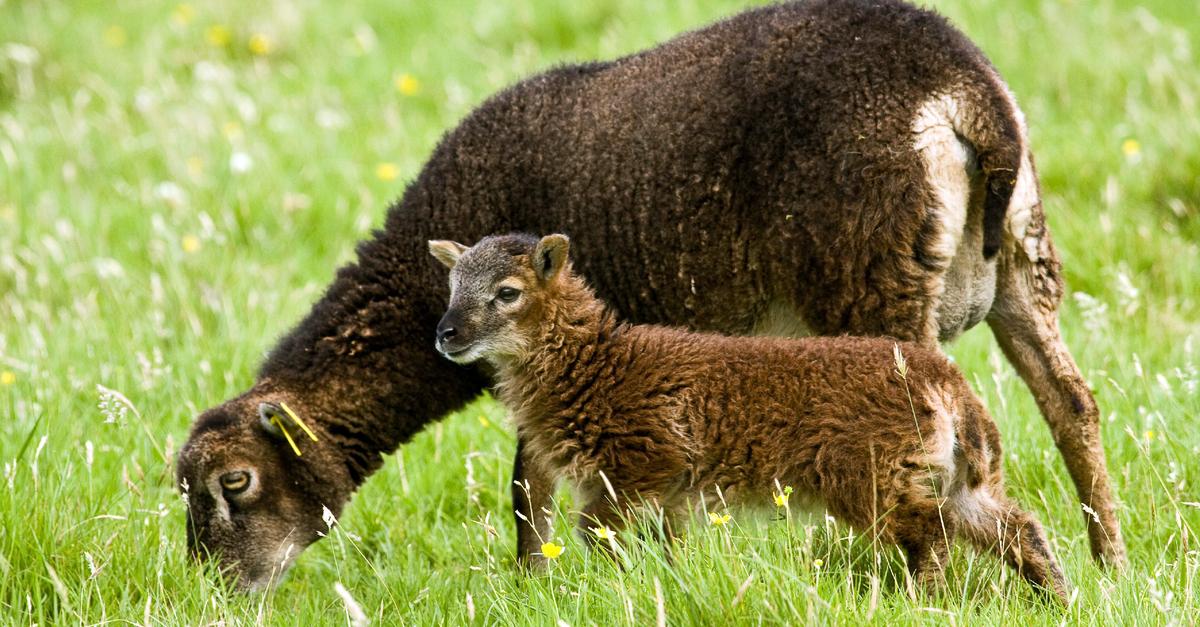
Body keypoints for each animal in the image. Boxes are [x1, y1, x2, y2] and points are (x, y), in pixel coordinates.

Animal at [428, 232, 1072, 603]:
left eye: (508, 292)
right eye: (452, 286)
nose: (446, 334)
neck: (596, 363)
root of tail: (949, 384)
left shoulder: (638, 468)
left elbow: (599, 540)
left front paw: (617, 589)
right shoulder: (668, 495)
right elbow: (665, 551)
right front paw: (663, 587)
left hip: (878, 477)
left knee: (932, 538)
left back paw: (921, 604)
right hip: (949, 477)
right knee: (1016, 528)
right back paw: (1057, 599)